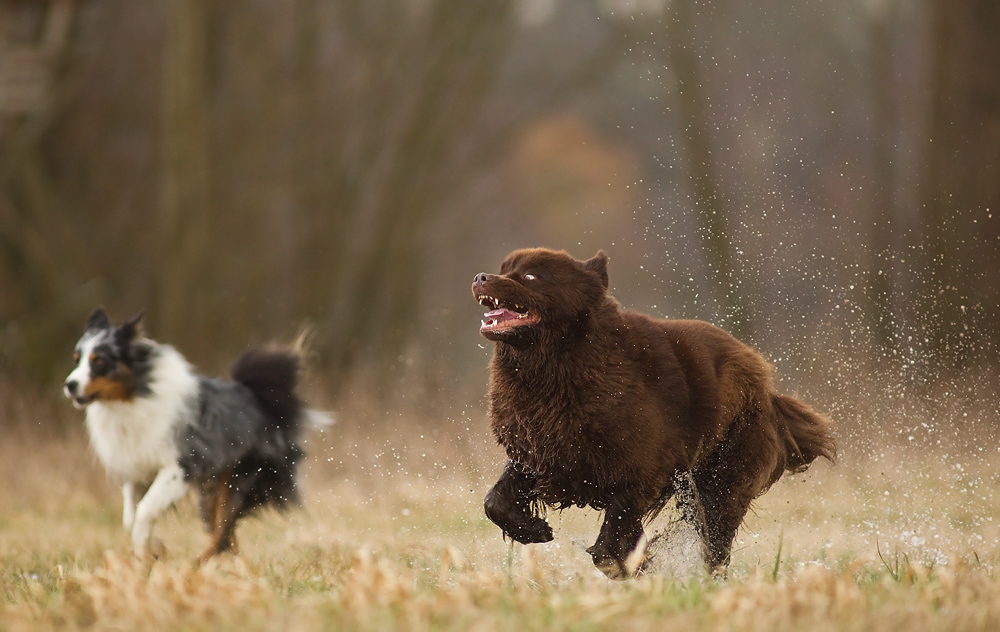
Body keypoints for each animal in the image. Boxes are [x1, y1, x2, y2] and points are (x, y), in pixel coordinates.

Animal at [63, 308, 328, 560]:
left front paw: (145, 552)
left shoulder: (179, 467)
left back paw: (198, 564)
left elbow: (145, 510)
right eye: (76, 359)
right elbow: (130, 517)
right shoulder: (136, 467)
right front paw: (155, 548)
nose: (69, 385)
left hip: (242, 480)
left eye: (99, 361)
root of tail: (261, 398)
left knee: (222, 530)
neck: (131, 399)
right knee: (224, 534)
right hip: (211, 489)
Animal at [472, 247, 832, 576]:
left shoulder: (642, 469)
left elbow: (612, 538)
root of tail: (766, 385)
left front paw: (634, 565)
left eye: (531, 276)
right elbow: (496, 500)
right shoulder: (540, 449)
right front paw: (534, 530)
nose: (480, 277)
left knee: (718, 536)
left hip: (725, 475)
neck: (561, 363)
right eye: (504, 269)